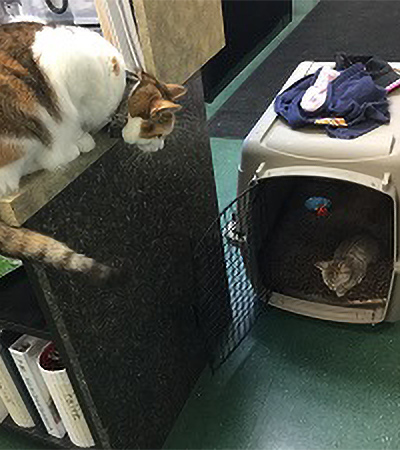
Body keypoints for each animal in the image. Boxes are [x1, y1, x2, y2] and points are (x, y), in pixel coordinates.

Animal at [0, 20, 186, 284]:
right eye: (159, 136)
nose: (161, 147)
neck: (123, 93)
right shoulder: (68, 75)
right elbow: (70, 118)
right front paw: (80, 138)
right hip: (23, 121)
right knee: (17, 171)